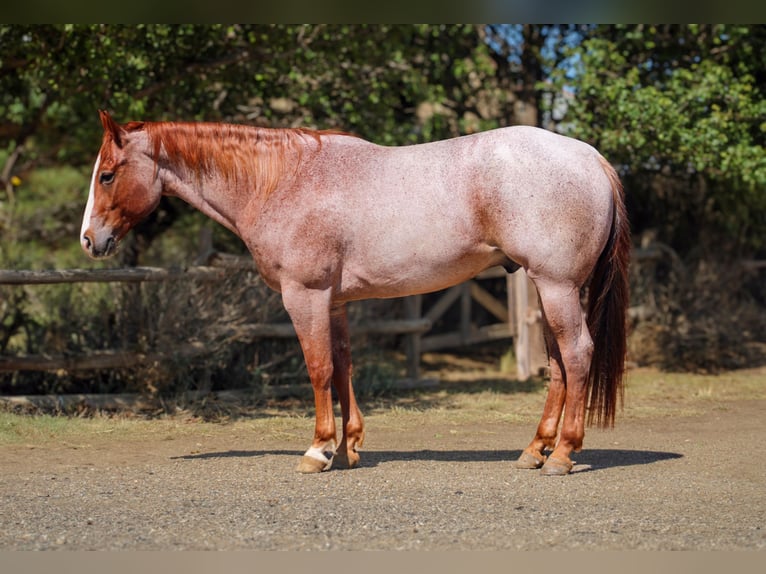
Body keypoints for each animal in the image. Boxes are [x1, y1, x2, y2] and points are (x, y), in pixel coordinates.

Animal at [81, 110, 630, 476]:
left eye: (107, 174)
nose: (89, 240)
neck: (283, 181)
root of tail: (591, 158)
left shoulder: (304, 296)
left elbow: (318, 368)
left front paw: (318, 450)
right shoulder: (336, 302)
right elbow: (343, 366)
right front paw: (348, 448)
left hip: (557, 286)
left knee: (577, 355)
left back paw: (563, 454)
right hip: (545, 287)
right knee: (557, 364)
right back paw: (535, 451)